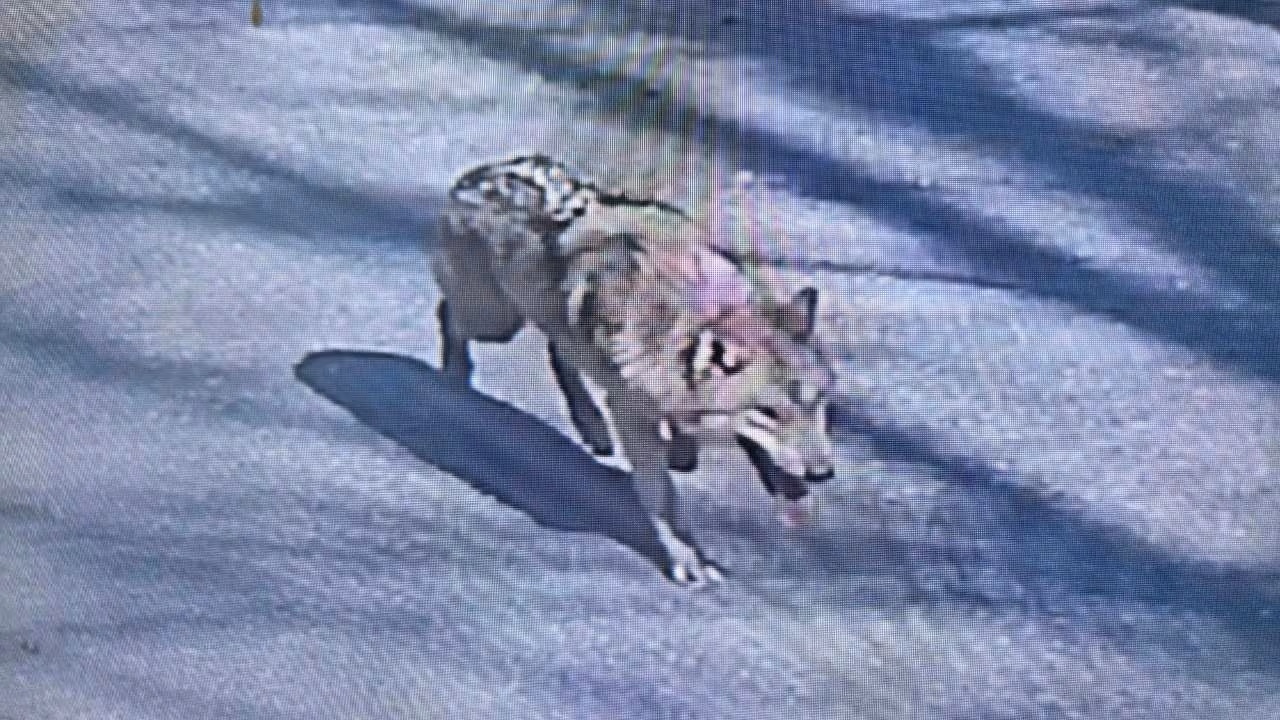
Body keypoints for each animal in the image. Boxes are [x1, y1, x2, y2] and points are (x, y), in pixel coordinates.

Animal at [431, 155, 835, 584]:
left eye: (818, 404)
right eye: (768, 412)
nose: (823, 474)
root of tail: (480, 173)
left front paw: (690, 453)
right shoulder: (632, 415)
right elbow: (663, 498)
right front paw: (689, 561)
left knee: (559, 351)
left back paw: (592, 426)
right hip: (495, 322)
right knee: (449, 315)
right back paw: (454, 378)